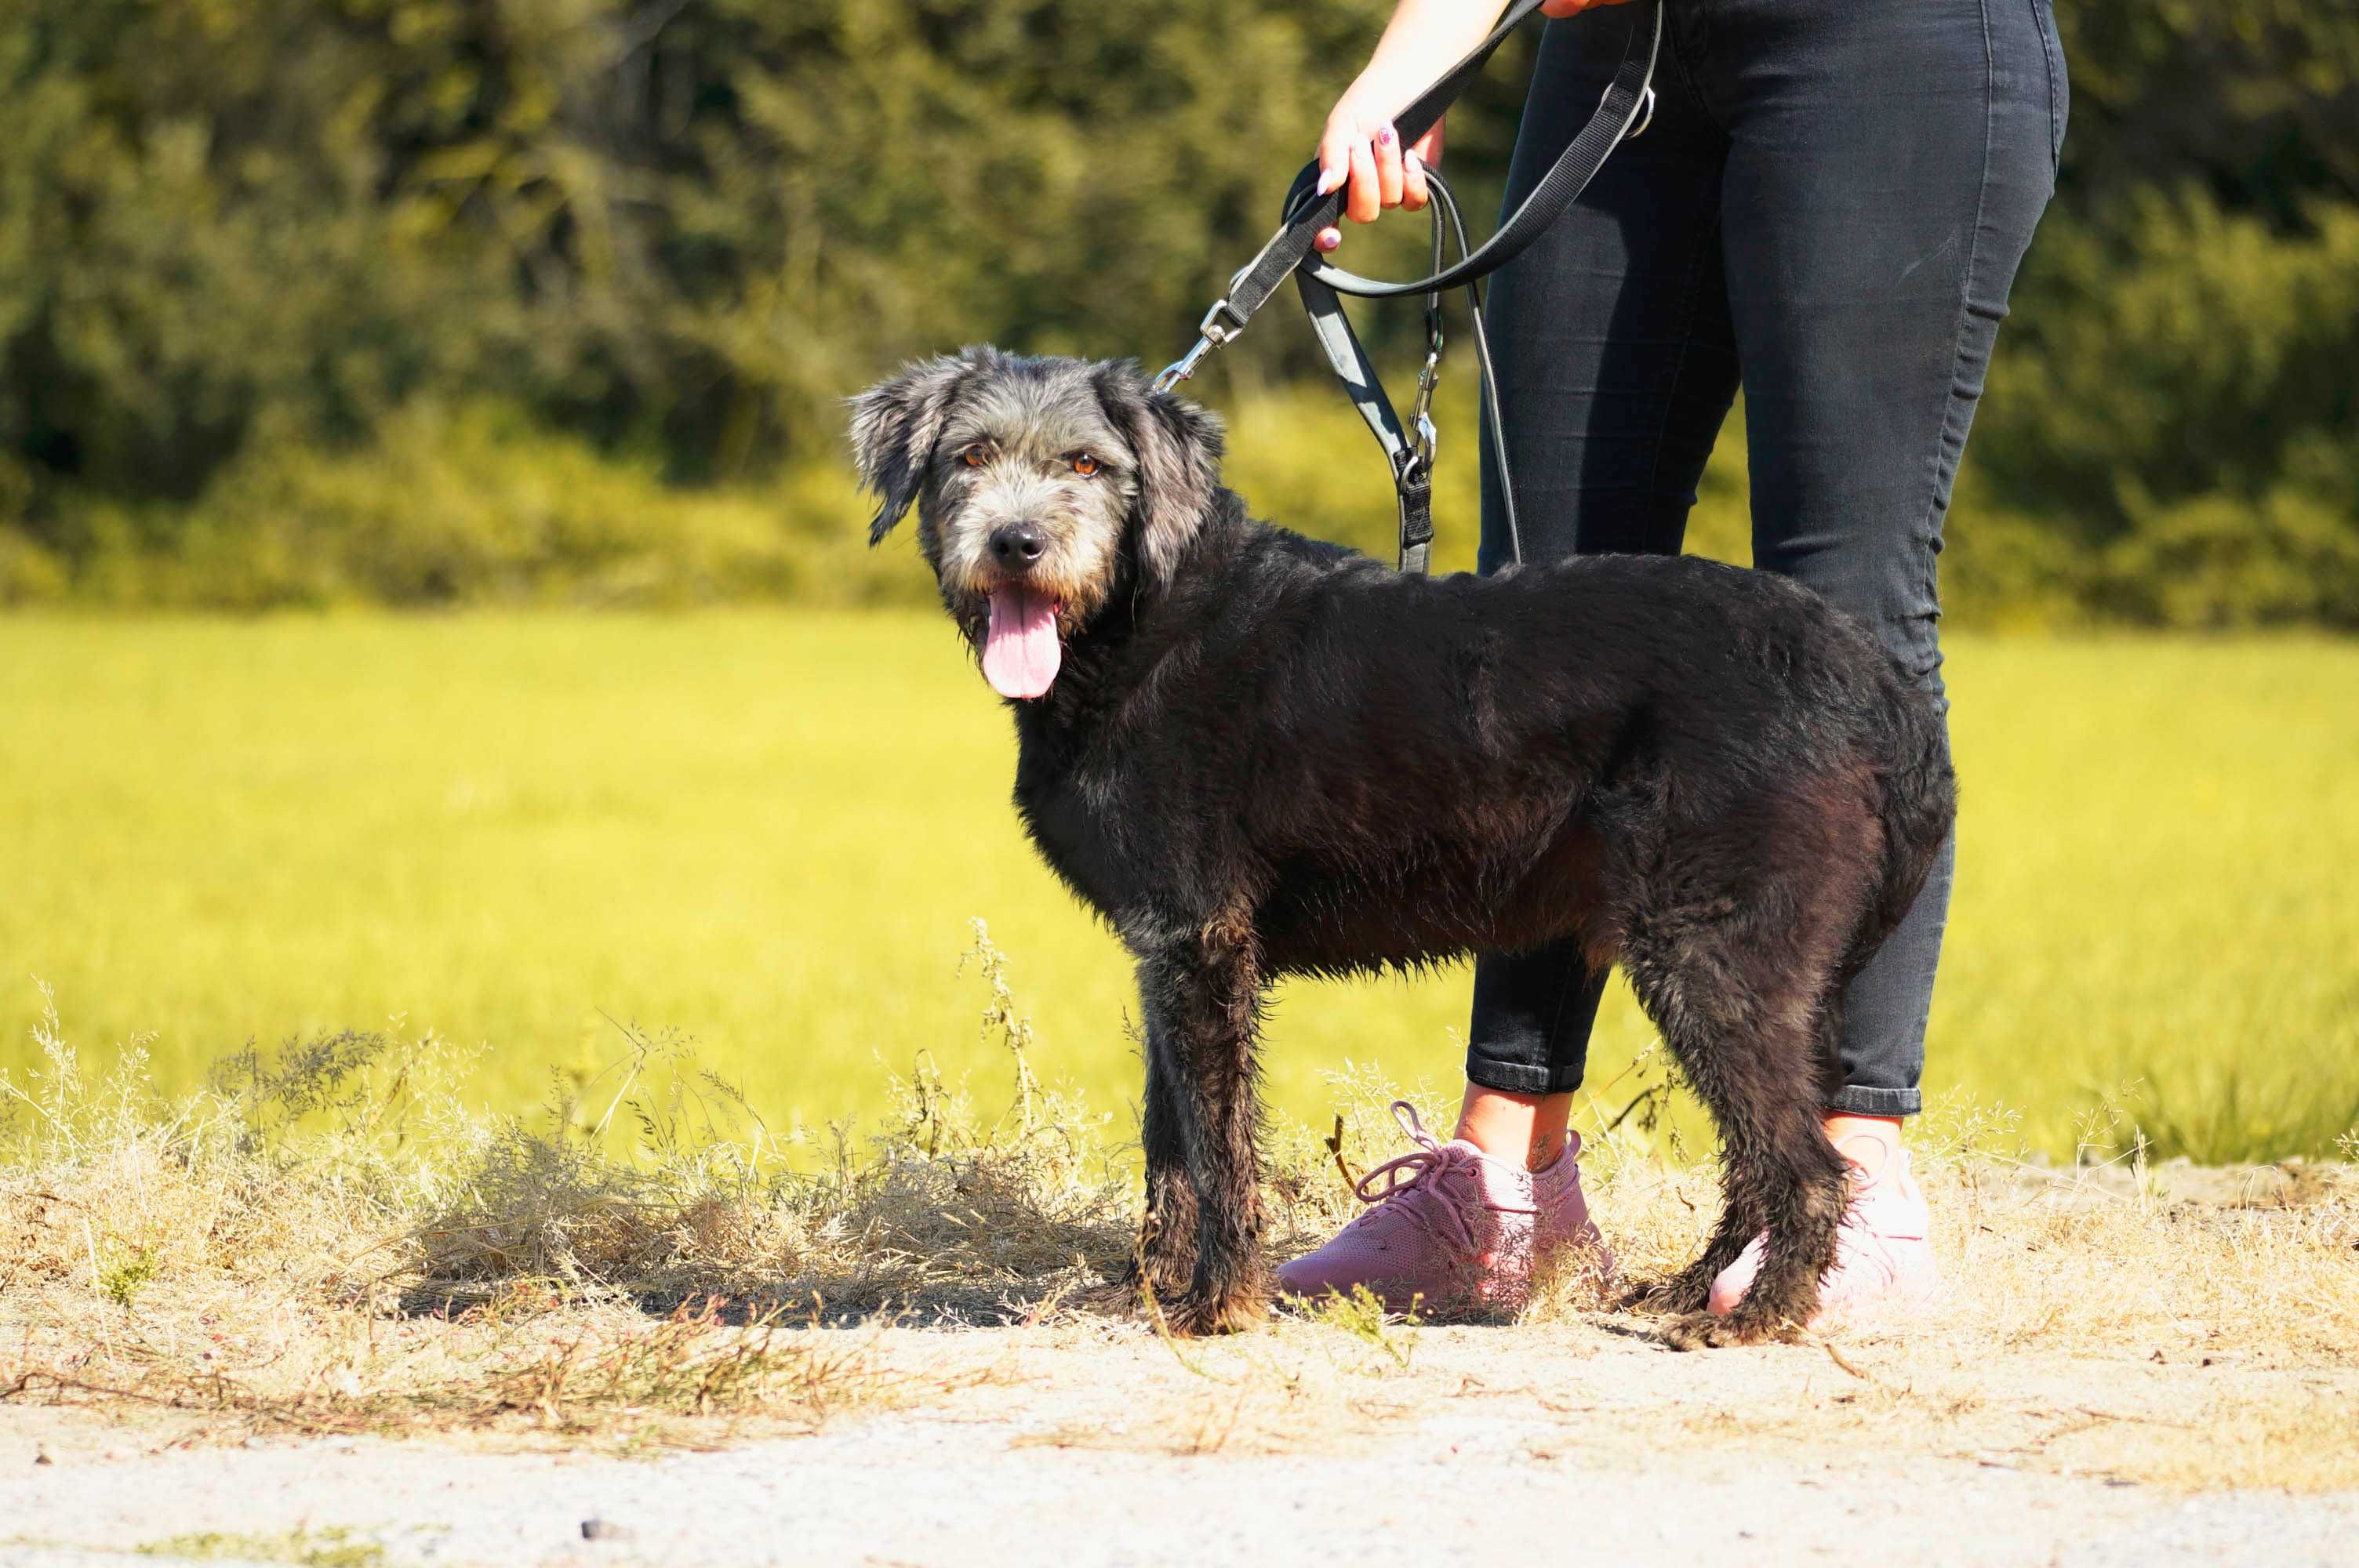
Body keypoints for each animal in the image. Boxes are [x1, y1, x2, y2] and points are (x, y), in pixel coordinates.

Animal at [849, 342, 1953, 1348]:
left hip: (1711, 950)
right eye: (969, 455)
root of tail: (1873, 679)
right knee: (1764, 1152)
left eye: (1084, 462)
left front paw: (1217, 1303)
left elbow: (1214, 1141)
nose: (1016, 542)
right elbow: (1170, 1139)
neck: (1145, 611)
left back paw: (1755, 1315)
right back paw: (1693, 1287)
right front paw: (1152, 1290)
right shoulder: (1169, 946)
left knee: (1806, 1164)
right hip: (1774, 967)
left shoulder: (1199, 940)